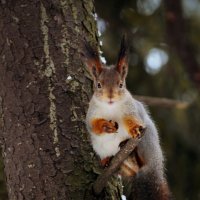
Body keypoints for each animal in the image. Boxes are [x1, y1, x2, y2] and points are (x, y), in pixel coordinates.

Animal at [84, 36, 172, 199]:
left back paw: (128, 147)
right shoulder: (91, 114)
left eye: (121, 84)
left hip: (146, 142)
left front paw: (135, 129)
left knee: (140, 160)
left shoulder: (131, 110)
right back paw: (107, 160)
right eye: (98, 85)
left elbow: (131, 120)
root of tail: (155, 165)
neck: (110, 107)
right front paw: (105, 126)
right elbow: (93, 126)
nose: (110, 97)